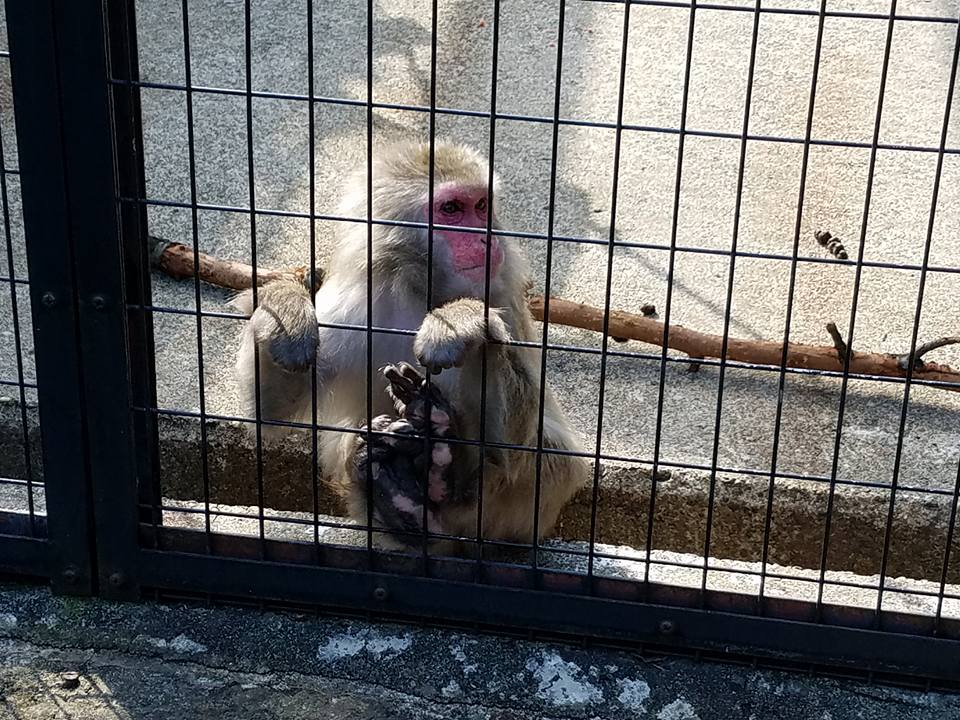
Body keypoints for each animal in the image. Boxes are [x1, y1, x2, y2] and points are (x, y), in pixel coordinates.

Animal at [234, 140, 588, 553]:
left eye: (482, 205)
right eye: (451, 209)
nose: (488, 238)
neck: (421, 288)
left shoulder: (504, 296)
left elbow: (516, 450)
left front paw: (465, 322)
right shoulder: (352, 307)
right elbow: (268, 414)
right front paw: (284, 306)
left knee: (552, 458)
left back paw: (434, 467)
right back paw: (401, 498)